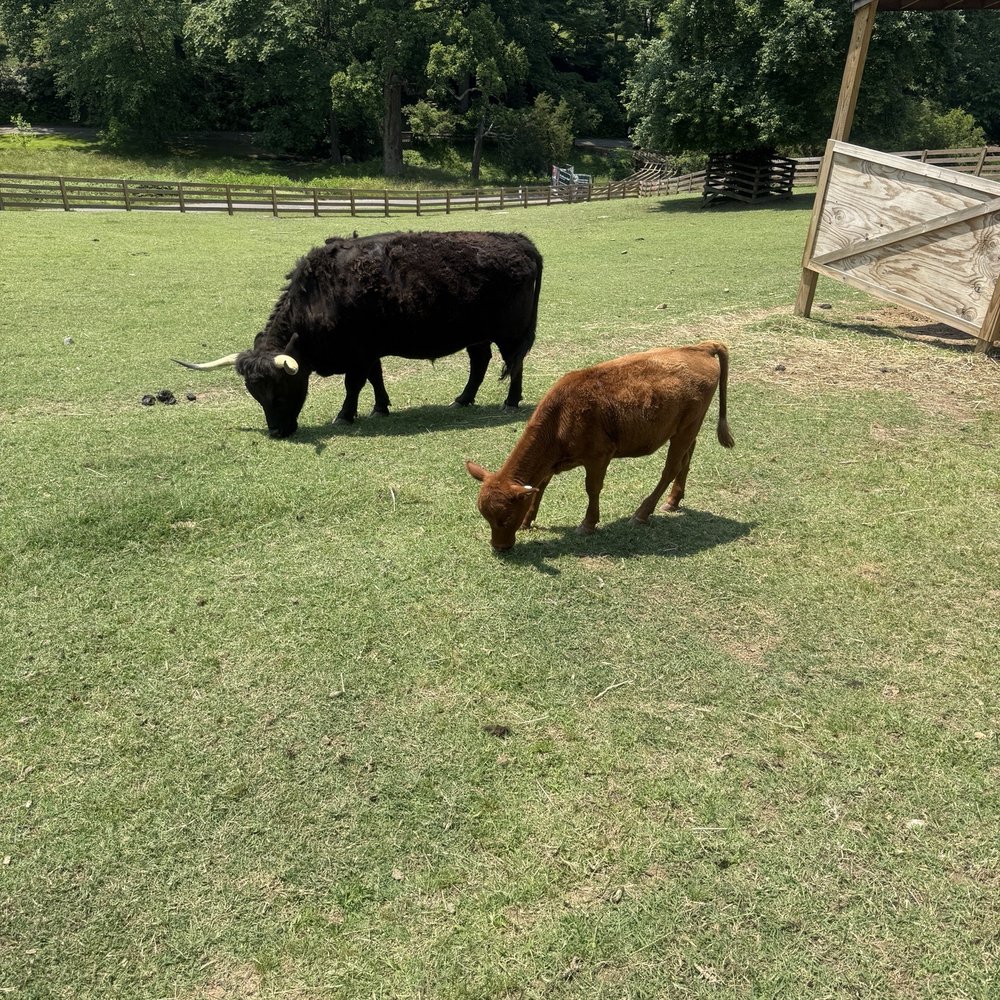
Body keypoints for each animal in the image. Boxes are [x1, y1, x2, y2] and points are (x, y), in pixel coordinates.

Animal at [174, 230, 543, 438]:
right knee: (479, 362)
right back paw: (463, 399)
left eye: (280, 392)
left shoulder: (358, 353)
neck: (320, 294)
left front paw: (344, 415)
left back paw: (510, 402)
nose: (277, 432)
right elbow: (376, 378)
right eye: (256, 395)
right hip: (476, 334)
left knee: (515, 364)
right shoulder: (370, 351)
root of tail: (519, 241)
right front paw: (380, 407)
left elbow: (354, 384)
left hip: (510, 333)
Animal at [465, 341, 734, 551]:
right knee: (686, 460)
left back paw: (642, 513)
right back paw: (673, 500)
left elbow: (592, 488)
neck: (561, 416)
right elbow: (540, 486)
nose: (499, 547)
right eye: (485, 516)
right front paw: (528, 521)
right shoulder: (551, 462)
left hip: (686, 428)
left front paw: (588, 523)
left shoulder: (599, 456)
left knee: (671, 468)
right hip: (686, 428)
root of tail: (700, 348)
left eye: (505, 517)